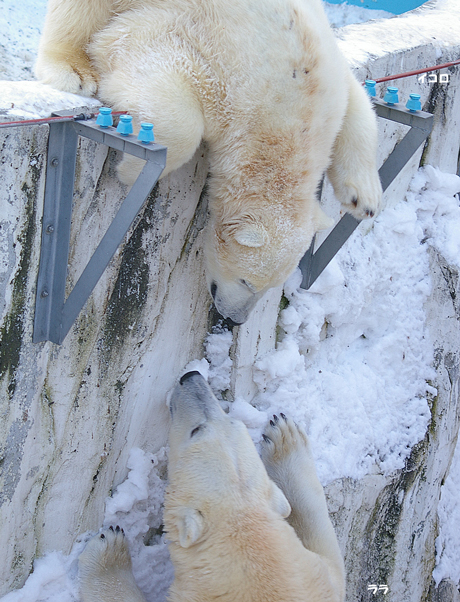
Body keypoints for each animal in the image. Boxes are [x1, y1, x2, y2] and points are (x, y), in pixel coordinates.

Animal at [35, 0, 380, 324]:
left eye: (272, 287)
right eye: (247, 282)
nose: (235, 319)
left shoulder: (328, 77)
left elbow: (360, 103)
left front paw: (365, 199)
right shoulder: (214, 56)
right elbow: (158, 83)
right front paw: (130, 172)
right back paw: (73, 71)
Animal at [78, 370, 344, 600]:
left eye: (196, 430)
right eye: (233, 421)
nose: (190, 376)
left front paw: (110, 551)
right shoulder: (312, 577)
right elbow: (330, 555)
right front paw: (286, 437)